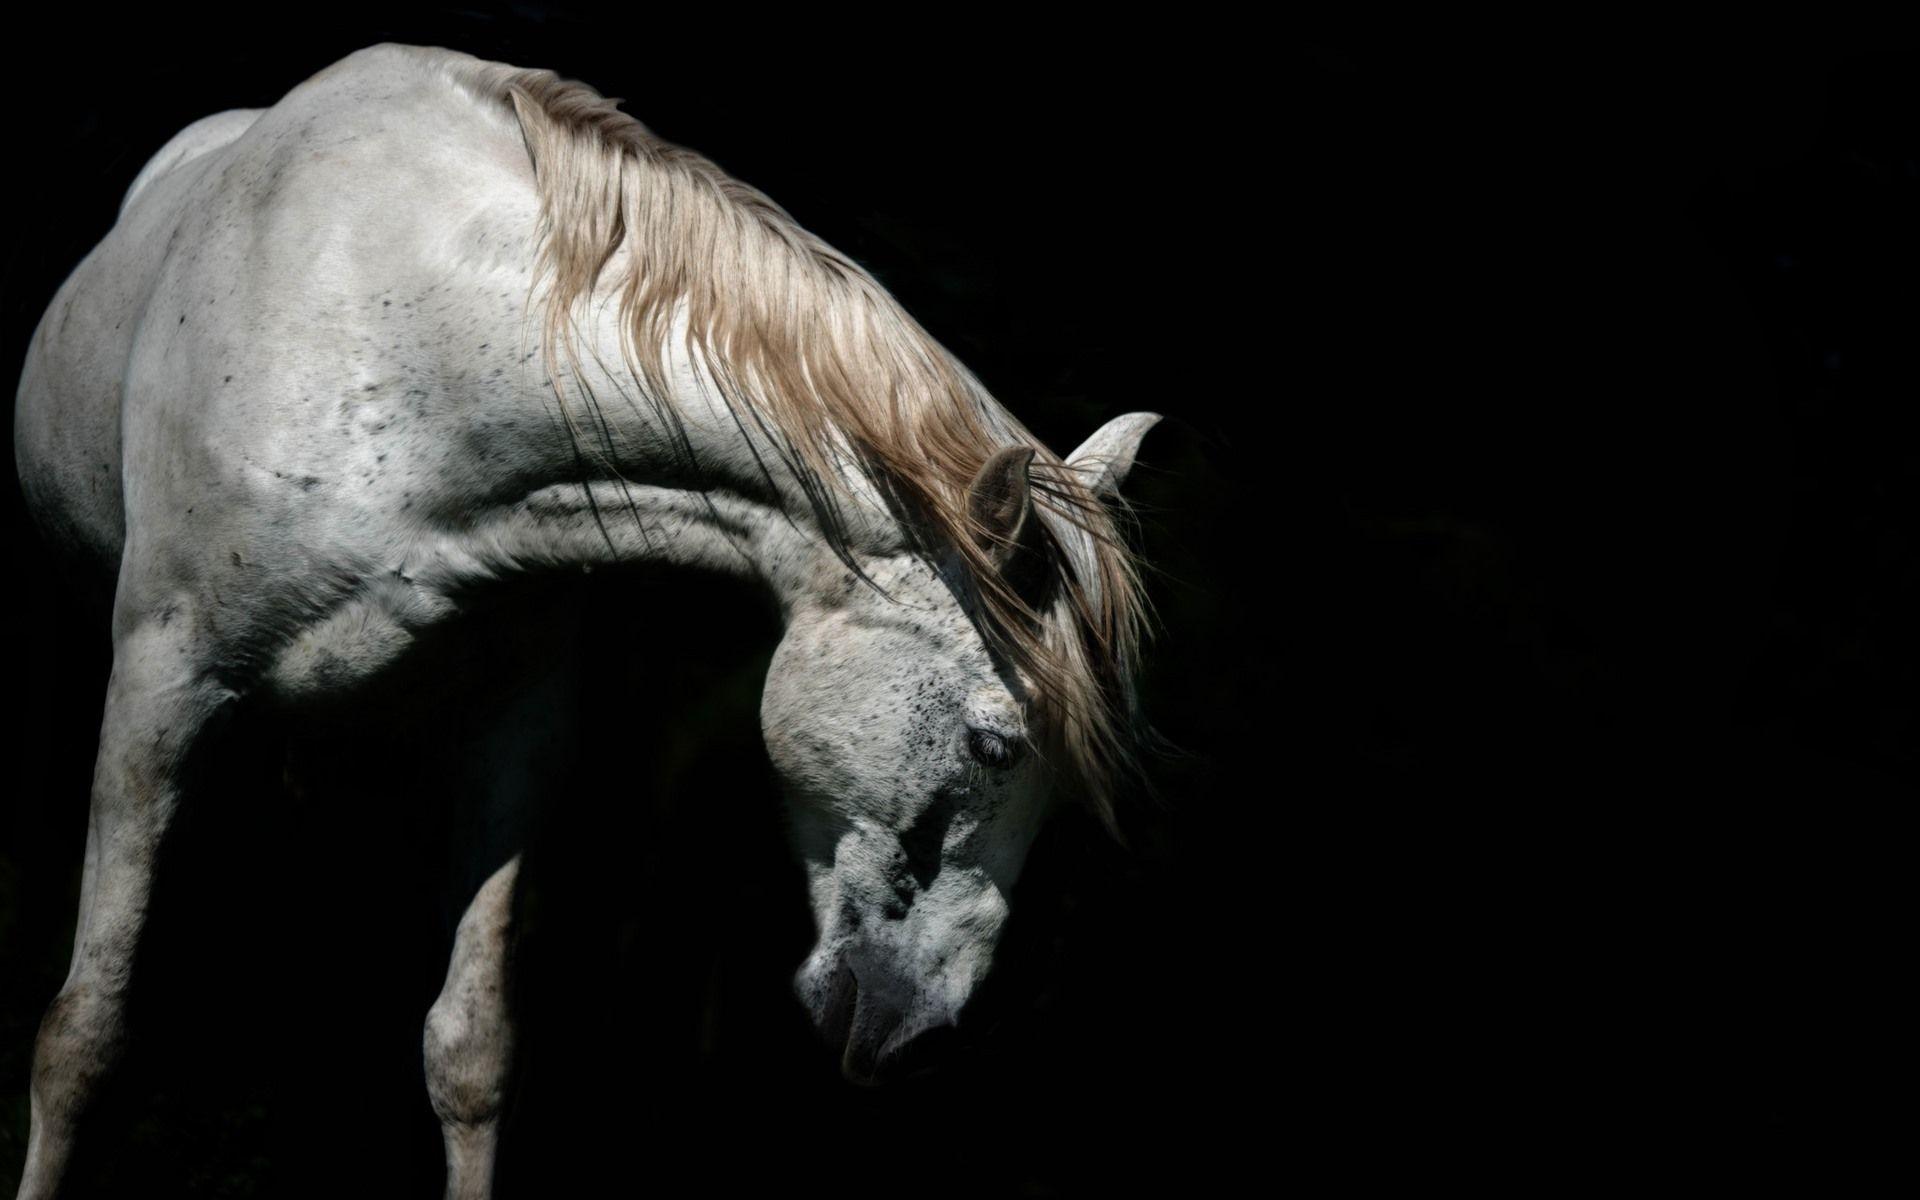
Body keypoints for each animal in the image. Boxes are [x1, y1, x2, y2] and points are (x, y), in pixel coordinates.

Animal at [11, 43, 1160, 1199]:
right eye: (993, 744)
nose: (918, 1036)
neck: (401, 355)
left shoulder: (510, 737)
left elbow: (469, 1052)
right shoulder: (159, 698)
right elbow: (82, 1036)